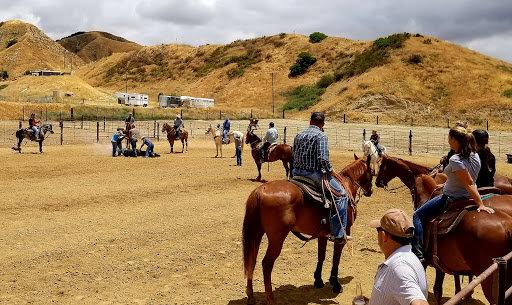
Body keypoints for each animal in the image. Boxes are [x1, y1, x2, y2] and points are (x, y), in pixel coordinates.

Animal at [242, 154, 374, 304]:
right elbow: (336, 258)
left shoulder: (322, 234)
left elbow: (321, 255)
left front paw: (318, 280)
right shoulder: (344, 232)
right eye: (372, 171)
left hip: (256, 233)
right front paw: (335, 283)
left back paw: (251, 297)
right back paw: (270, 299)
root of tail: (260, 191)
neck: (346, 186)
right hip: (276, 239)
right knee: (266, 264)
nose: (370, 191)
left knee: (251, 261)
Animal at [374, 156, 512, 302]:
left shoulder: (426, 261)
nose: (377, 182)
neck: (427, 195)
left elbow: (435, 288)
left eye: (382, 166)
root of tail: (506, 225)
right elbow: (441, 287)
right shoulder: (443, 263)